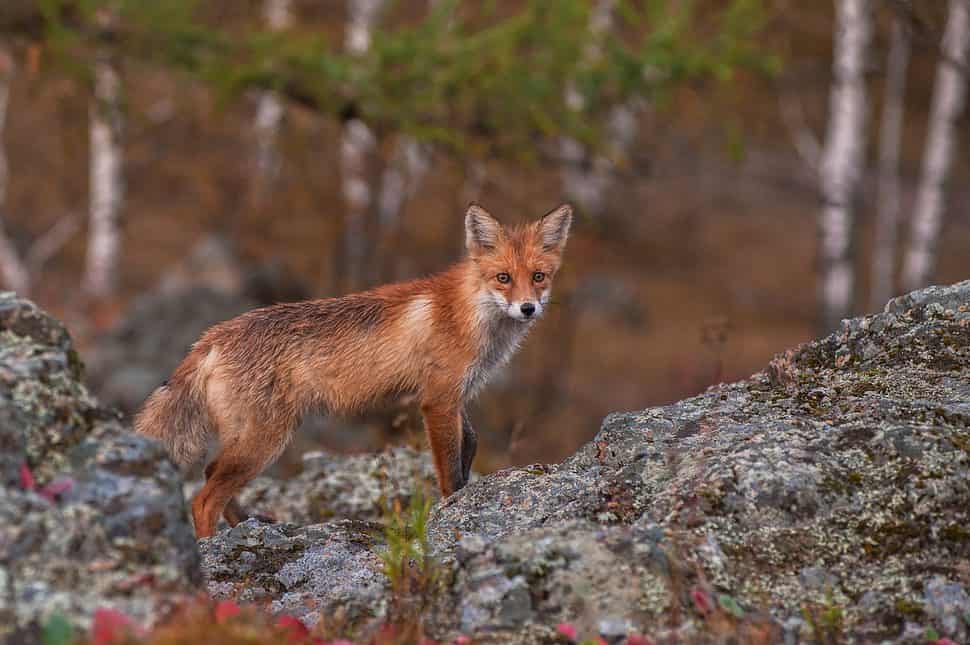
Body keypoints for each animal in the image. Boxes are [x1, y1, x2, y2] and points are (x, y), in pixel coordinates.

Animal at [134, 203, 573, 538]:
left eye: (538, 277)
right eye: (503, 278)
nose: (528, 308)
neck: (469, 313)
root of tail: (212, 335)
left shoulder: (455, 396)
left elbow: (471, 444)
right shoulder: (438, 400)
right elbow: (450, 471)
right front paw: (454, 510)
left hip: (249, 439)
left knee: (210, 473)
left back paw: (247, 525)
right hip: (265, 440)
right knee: (203, 498)